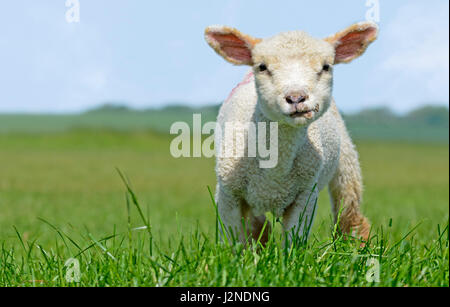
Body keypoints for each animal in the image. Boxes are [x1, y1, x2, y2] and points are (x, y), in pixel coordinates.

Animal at [206, 21, 378, 245]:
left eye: (326, 66)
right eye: (262, 66)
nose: (296, 98)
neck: (275, 170)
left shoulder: (305, 195)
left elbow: (294, 241)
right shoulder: (228, 194)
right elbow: (235, 240)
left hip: (346, 159)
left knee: (350, 211)